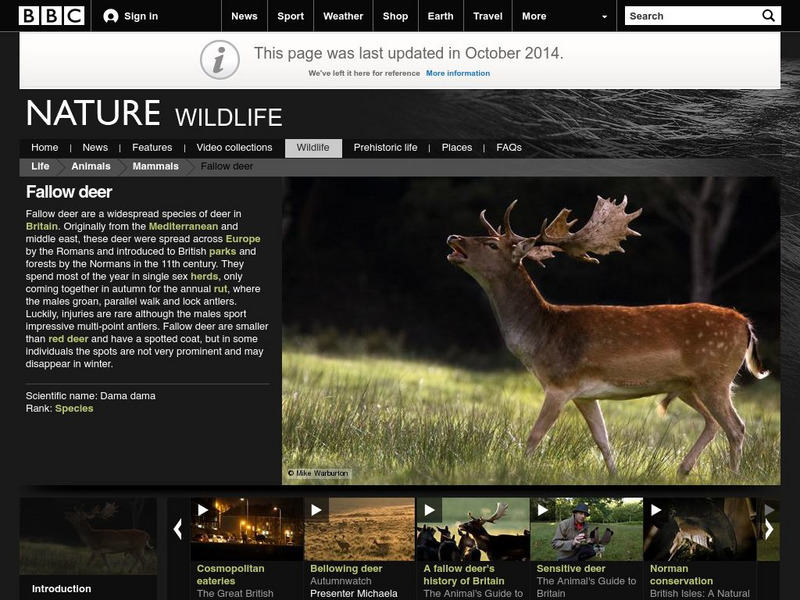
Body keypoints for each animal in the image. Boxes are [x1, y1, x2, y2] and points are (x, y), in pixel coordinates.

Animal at [446, 196, 769, 477]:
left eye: (492, 244)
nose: (453, 237)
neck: (542, 335)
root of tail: (746, 325)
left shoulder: (560, 383)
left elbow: (535, 435)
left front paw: (518, 470)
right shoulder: (585, 395)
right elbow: (602, 440)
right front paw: (614, 475)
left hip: (715, 376)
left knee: (736, 426)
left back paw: (731, 475)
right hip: (689, 385)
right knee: (713, 422)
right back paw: (684, 469)